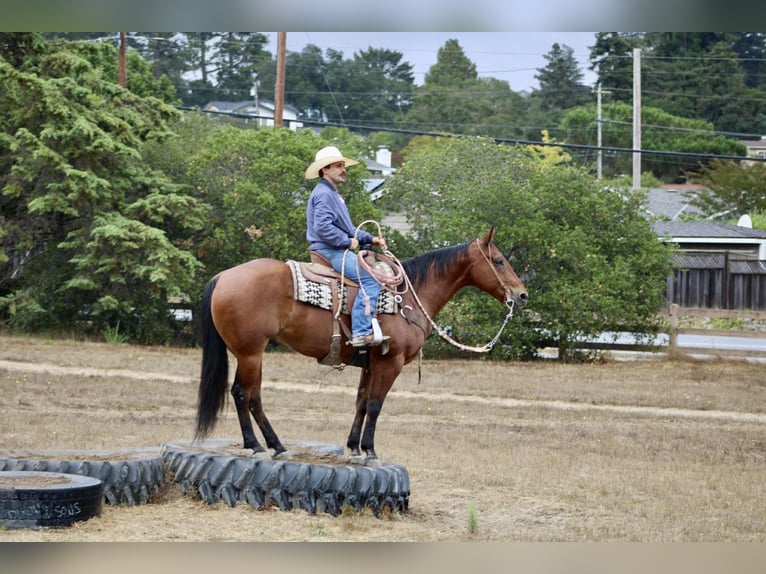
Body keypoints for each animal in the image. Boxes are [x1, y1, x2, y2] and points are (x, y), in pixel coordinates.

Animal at [195, 226, 528, 461]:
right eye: (498, 261)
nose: (522, 295)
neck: (409, 295)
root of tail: (223, 277)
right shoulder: (390, 362)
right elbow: (376, 404)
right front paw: (370, 449)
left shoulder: (370, 363)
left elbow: (361, 403)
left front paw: (354, 447)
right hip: (250, 353)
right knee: (242, 393)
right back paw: (255, 445)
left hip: (254, 354)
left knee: (253, 396)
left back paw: (276, 445)